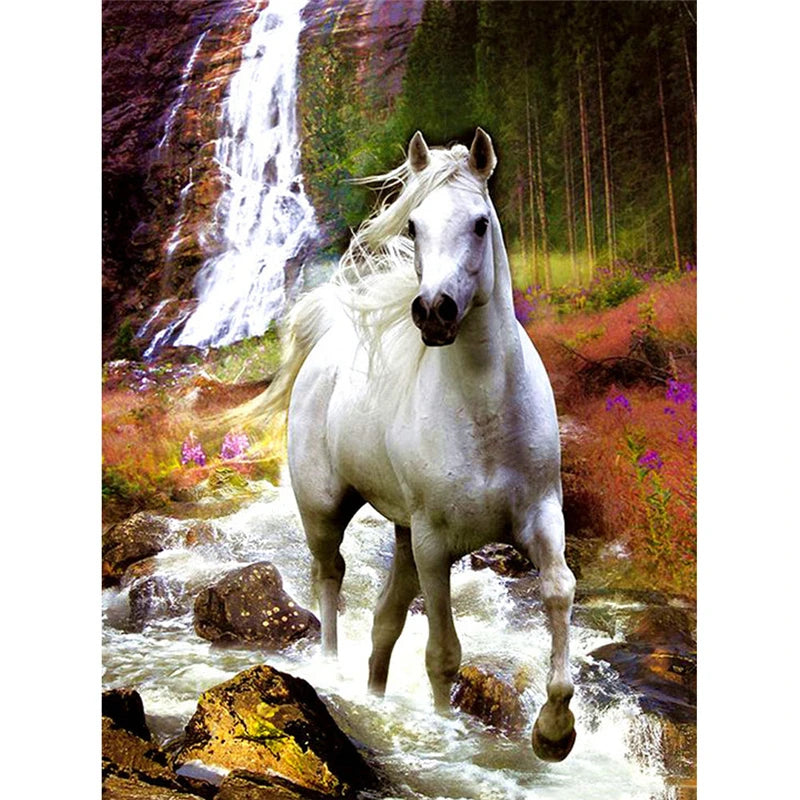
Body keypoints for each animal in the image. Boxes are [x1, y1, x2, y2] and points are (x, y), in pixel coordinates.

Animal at [239, 128, 577, 761]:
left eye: (479, 223)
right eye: (414, 226)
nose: (434, 311)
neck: (485, 413)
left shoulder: (541, 516)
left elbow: (559, 591)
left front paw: (554, 731)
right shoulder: (435, 543)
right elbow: (443, 655)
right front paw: (447, 735)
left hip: (399, 531)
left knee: (384, 619)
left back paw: (372, 693)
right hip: (326, 511)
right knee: (330, 578)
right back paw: (329, 671)